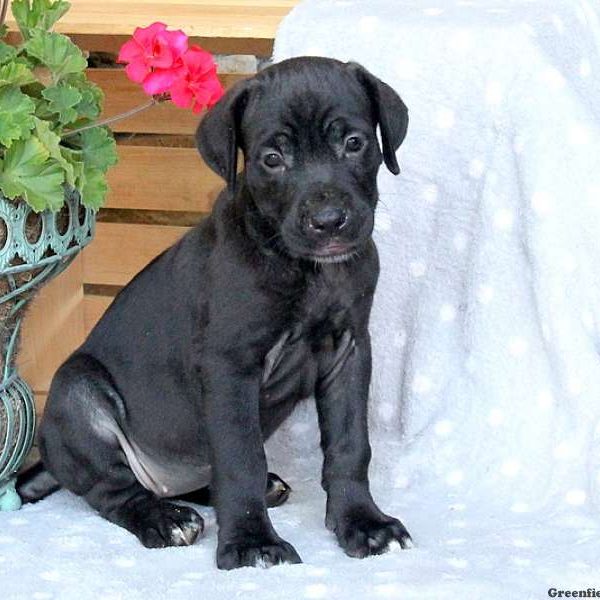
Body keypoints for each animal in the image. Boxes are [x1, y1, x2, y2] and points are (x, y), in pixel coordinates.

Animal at [17, 58, 412, 568]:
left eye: (355, 143)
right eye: (271, 159)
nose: (328, 223)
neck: (307, 270)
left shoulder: (349, 352)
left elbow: (350, 446)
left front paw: (364, 523)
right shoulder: (230, 366)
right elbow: (242, 458)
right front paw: (251, 542)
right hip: (76, 395)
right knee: (117, 490)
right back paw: (163, 519)